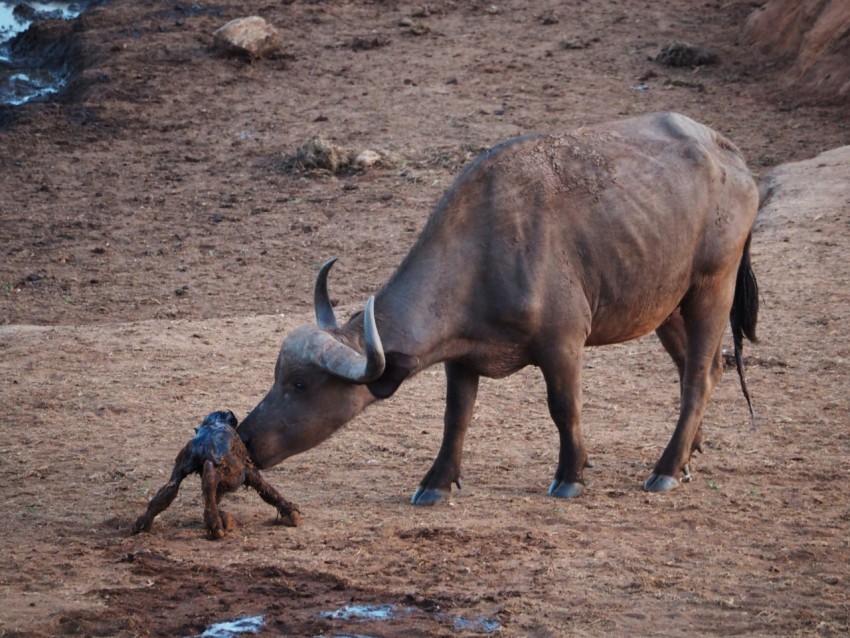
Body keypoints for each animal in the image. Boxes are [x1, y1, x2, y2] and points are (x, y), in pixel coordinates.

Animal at [237, 112, 759, 505]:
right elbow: (456, 417)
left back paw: (666, 468)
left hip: (713, 287)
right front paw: (436, 482)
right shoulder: (461, 358)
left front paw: (570, 475)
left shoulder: (563, 344)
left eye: (300, 384)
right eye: (276, 378)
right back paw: (688, 454)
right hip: (665, 304)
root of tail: (727, 152)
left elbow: (563, 407)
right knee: (703, 368)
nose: (244, 438)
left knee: (698, 377)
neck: (486, 248)